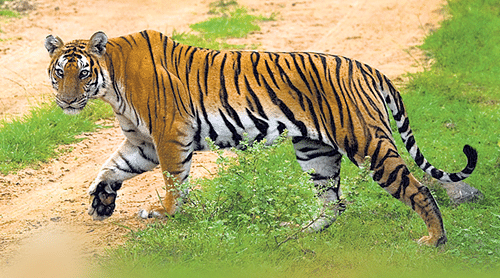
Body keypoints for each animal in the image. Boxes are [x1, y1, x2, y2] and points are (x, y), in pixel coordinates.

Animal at [44, 29, 476, 245]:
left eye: (83, 73)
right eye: (60, 72)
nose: (66, 101)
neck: (111, 82)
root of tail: (367, 68)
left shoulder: (169, 134)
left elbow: (172, 179)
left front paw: (163, 213)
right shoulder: (143, 142)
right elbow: (111, 167)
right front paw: (101, 201)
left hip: (367, 143)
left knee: (417, 187)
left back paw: (435, 241)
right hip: (314, 151)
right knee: (333, 203)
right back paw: (297, 233)